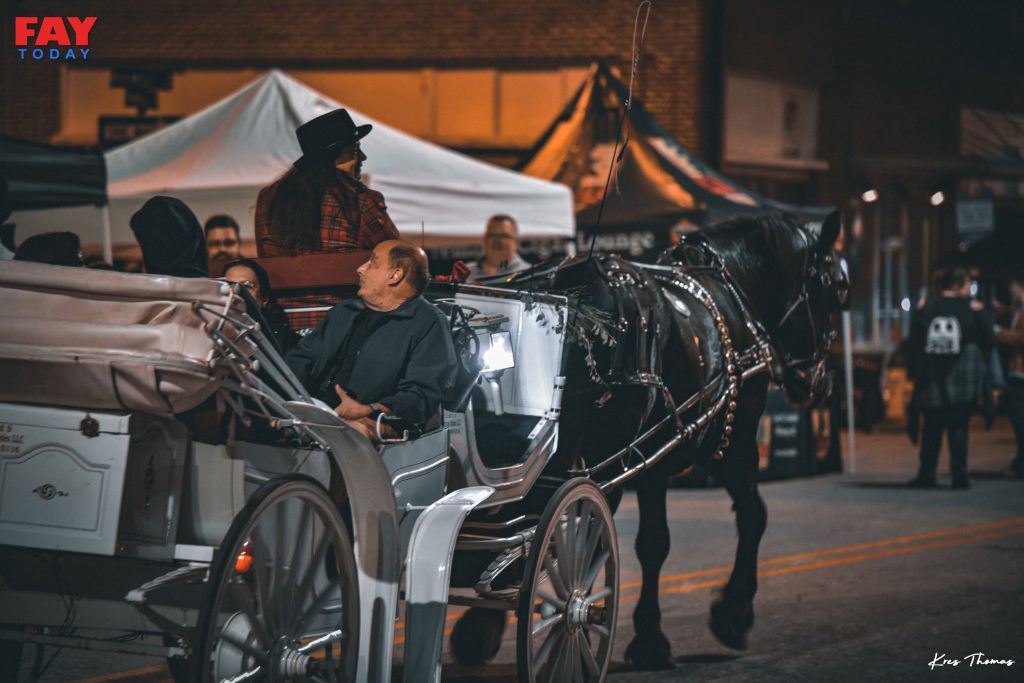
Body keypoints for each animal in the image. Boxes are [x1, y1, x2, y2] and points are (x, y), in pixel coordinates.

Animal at [474, 210, 848, 671]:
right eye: (837, 289)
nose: (822, 384)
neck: (734, 296)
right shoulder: (729, 444)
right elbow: (743, 518)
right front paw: (725, 616)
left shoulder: (651, 458)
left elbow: (641, 540)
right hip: (603, 451)